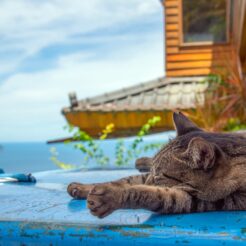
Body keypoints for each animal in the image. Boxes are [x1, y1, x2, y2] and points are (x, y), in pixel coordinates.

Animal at [66, 112, 246, 218]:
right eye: (155, 173)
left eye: (160, 177)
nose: (149, 181)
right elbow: (126, 180)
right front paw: (81, 187)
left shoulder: (222, 201)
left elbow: (155, 194)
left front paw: (111, 195)